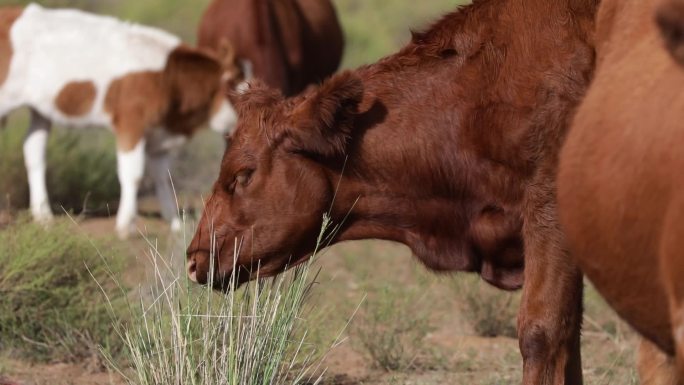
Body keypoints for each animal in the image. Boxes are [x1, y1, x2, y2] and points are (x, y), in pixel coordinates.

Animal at [0, 3, 240, 237]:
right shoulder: (131, 122)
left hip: (41, 110)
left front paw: (174, 224)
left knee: (34, 152)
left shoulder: (159, 135)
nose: (238, 122)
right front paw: (126, 226)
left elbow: (163, 178)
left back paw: (43, 217)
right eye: (234, 86)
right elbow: (132, 173)